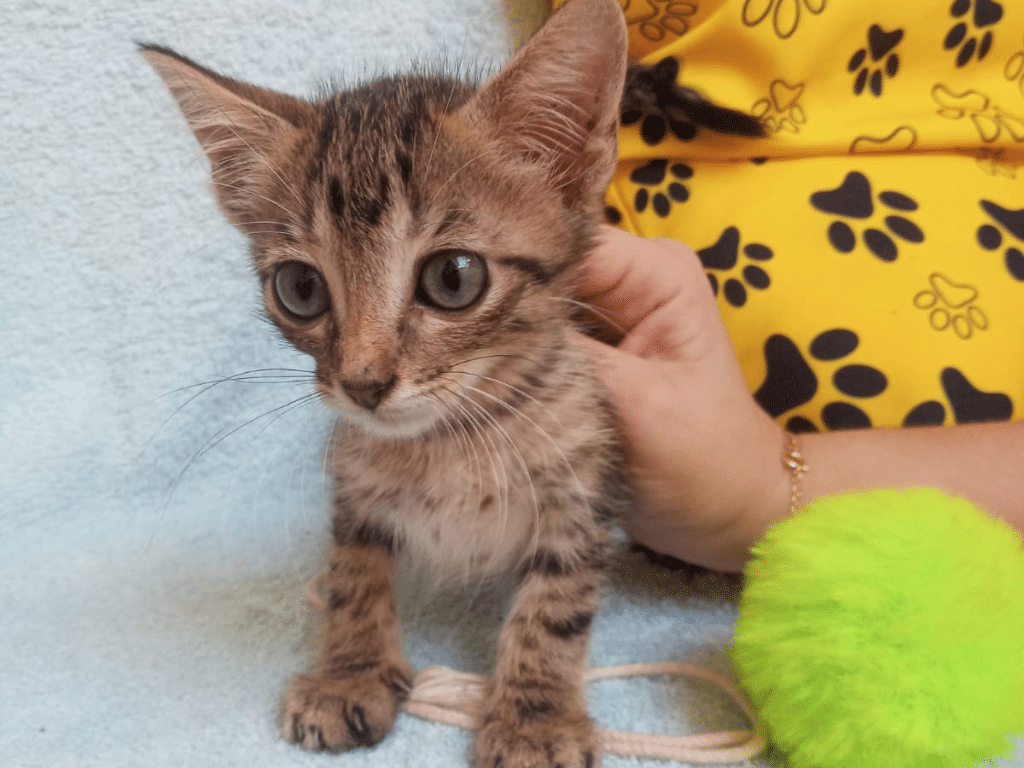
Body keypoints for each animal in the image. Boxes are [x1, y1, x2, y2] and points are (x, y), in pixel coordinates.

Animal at [146, 3, 761, 765]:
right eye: (299, 289)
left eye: (453, 278)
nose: (364, 383)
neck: (449, 441)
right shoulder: (355, 481)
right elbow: (352, 575)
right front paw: (349, 674)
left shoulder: (583, 484)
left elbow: (555, 608)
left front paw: (534, 719)